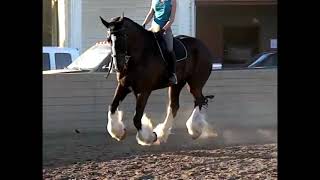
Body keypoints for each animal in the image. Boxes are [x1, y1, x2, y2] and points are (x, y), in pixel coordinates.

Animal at [100, 14, 215, 146]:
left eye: (123, 37)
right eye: (109, 39)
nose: (117, 65)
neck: (140, 54)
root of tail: (203, 46)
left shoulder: (144, 90)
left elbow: (137, 117)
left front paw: (149, 137)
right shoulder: (124, 86)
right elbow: (112, 107)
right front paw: (118, 132)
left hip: (195, 84)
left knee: (200, 100)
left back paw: (194, 130)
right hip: (176, 84)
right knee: (175, 106)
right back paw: (163, 133)